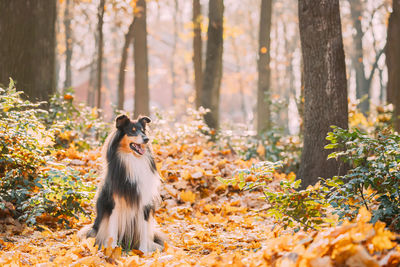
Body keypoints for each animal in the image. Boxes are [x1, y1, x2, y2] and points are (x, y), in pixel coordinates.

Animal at [86, 114, 163, 253]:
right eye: (132, 131)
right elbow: (112, 230)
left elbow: (144, 232)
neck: (132, 159)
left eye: (143, 131)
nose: (146, 139)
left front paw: (143, 253)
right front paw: (112, 251)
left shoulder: (144, 203)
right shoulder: (114, 204)